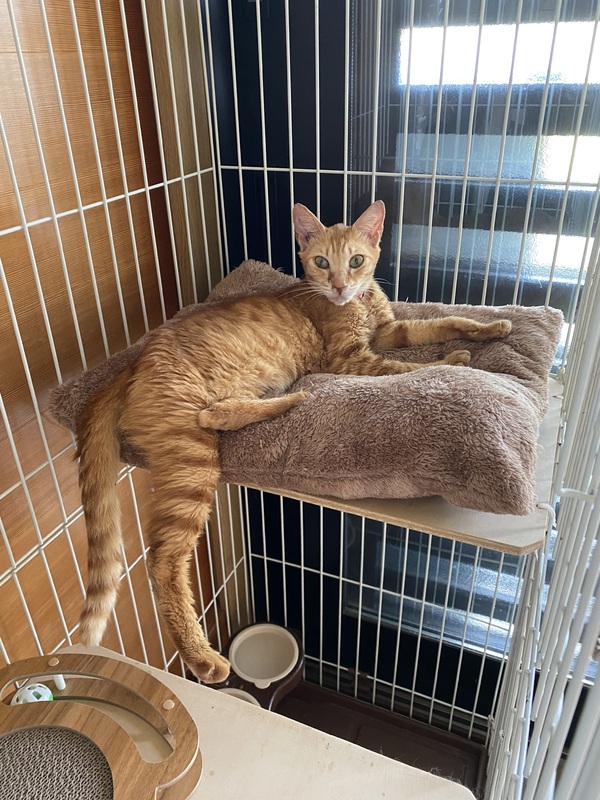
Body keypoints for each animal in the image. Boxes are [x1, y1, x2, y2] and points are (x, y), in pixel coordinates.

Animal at [76, 200, 511, 683]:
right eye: (321, 262)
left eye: (355, 261)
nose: (339, 286)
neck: (356, 304)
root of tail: (130, 365)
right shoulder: (352, 360)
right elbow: (409, 369)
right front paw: (458, 363)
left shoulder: (391, 331)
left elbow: (444, 322)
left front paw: (489, 328)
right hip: (190, 455)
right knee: (164, 560)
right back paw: (202, 657)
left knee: (221, 414)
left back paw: (288, 399)